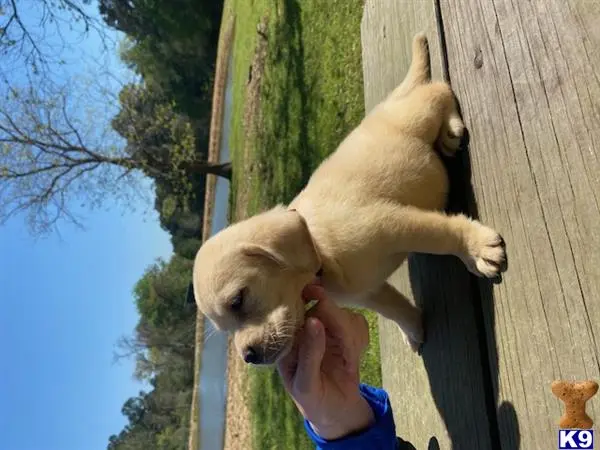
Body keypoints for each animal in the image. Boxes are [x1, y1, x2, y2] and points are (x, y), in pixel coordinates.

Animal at [192, 34, 506, 366]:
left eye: (237, 300)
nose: (249, 356)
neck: (319, 248)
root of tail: (391, 101)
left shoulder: (397, 223)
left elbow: (444, 235)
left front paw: (475, 248)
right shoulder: (368, 292)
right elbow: (394, 308)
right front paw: (413, 330)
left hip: (418, 116)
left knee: (438, 90)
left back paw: (451, 128)